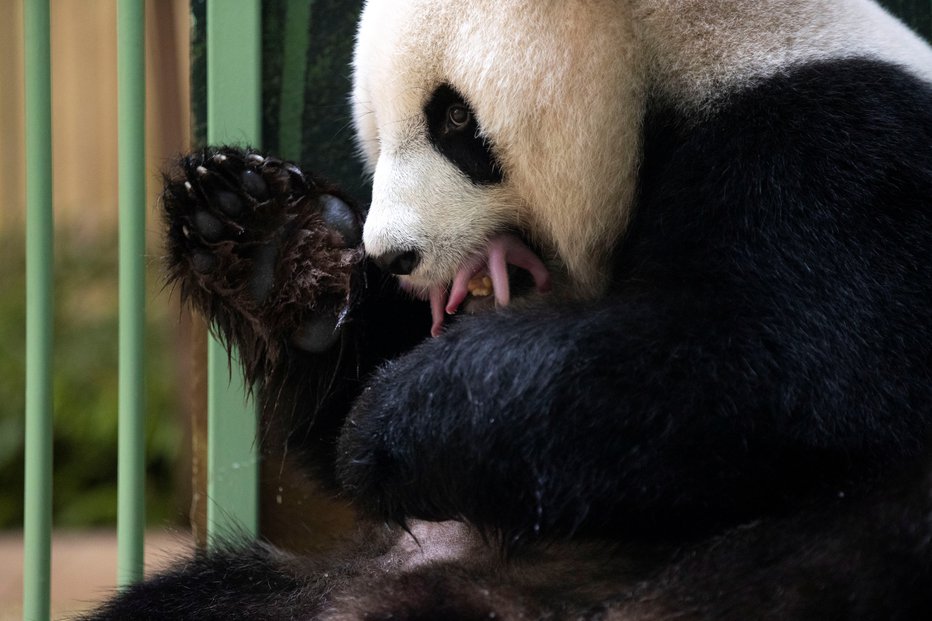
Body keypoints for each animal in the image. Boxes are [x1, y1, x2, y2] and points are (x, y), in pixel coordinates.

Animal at [83, 1, 928, 620]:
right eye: (374, 126)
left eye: (454, 119)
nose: (393, 255)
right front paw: (271, 244)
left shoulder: (841, 155)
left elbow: (749, 366)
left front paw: (394, 422)